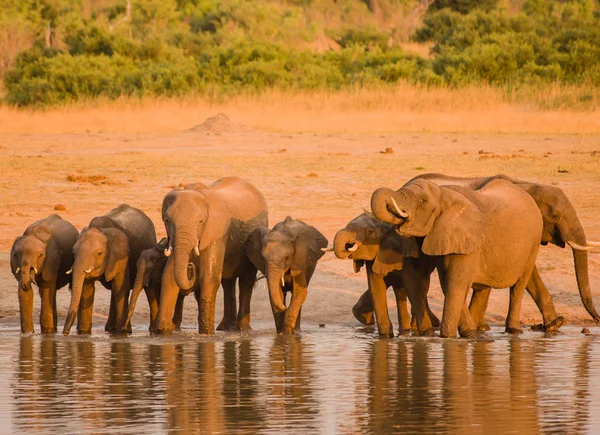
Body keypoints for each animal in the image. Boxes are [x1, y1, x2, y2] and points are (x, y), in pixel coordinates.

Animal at [62, 205, 157, 338]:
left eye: (99, 253)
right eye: (73, 252)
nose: (65, 333)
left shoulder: (122, 255)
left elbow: (121, 287)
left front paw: (123, 333)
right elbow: (87, 290)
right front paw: (83, 334)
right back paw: (110, 329)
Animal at [155, 175, 268, 336]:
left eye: (200, 222)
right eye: (166, 220)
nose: (191, 267)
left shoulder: (217, 232)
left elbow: (210, 277)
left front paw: (206, 334)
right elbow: (168, 276)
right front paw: (161, 332)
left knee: (246, 281)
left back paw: (242, 329)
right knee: (228, 283)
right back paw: (226, 328)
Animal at [370, 179, 544, 338]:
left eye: (423, 201)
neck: (444, 194)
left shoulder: (469, 238)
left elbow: (456, 283)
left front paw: (447, 337)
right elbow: (445, 282)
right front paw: (467, 333)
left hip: (533, 243)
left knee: (518, 287)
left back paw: (513, 331)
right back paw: (478, 332)